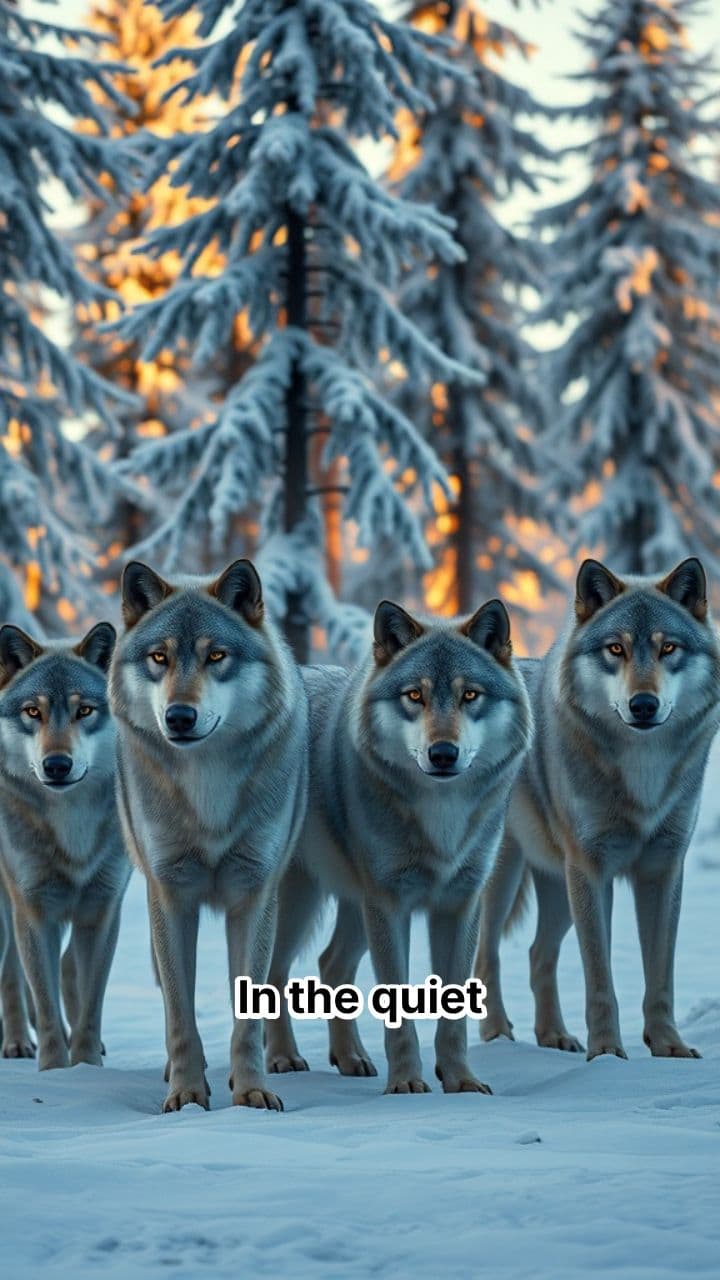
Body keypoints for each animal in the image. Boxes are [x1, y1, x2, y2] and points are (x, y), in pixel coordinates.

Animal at [0, 621, 127, 1070]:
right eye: (32, 712)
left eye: (84, 711)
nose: (57, 765)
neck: (72, 827)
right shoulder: (34, 911)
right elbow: (46, 1007)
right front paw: (55, 1071)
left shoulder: (102, 909)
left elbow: (90, 1003)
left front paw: (86, 1068)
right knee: (10, 974)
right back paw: (17, 1043)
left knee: (66, 966)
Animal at [109, 559, 308, 1113]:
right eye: (159, 657)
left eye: (216, 656)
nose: (179, 716)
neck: (208, 787)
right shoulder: (172, 897)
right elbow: (181, 1015)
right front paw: (187, 1094)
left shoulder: (253, 896)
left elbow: (248, 1017)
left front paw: (253, 1090)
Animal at [265, 598, 533, 1095]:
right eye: (414, 696)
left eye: (470, 696)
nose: (443, 754)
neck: (441, 818)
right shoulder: (390, 905)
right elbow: (399, 1010)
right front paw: (407, 1084)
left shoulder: (459, 905)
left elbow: (453, 1014)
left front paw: (461, 1082)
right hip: (300, 904)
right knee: (272, 972)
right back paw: (282, 1059)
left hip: (354, 908)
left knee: (330, 964)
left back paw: (351, 1058)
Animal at [476, 557, 720, 1061]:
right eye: (615, 649)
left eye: (668, 648)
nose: (643, 704)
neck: (643, 771)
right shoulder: (591, 869)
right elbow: (599, 978)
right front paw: (607, 1054)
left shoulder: (663, 870)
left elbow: (660, 975)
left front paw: (668, 1047)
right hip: (505, 878)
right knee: (485, 956)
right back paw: (498, 1038)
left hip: (557, 884)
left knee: (537, 954)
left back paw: (553, 1036)